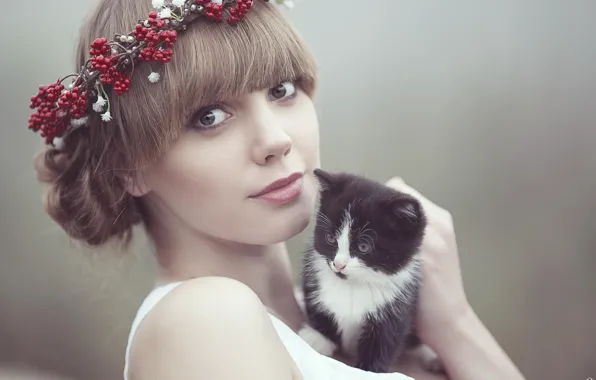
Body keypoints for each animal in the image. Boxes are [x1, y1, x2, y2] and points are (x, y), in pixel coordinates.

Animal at [298, 169, 442, 374]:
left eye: (364, 246)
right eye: (331, 238)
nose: (338, 264)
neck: (353, 284)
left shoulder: (397, 308)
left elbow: (384, 342)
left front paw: (369, 368)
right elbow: (316, 306)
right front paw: (318, 337)